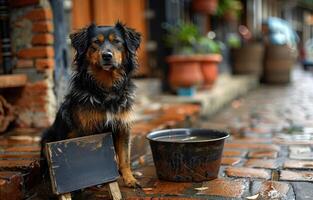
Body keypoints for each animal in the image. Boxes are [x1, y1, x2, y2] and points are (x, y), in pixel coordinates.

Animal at [40, 22, 141, 188]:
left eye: (117, 41)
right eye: (96, 42)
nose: (107, 55)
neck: (106, 87)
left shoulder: (123, 126)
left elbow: (124, 157)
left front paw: (130, 179)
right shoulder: (88, 128)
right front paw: (97, 180)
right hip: (46, 139)